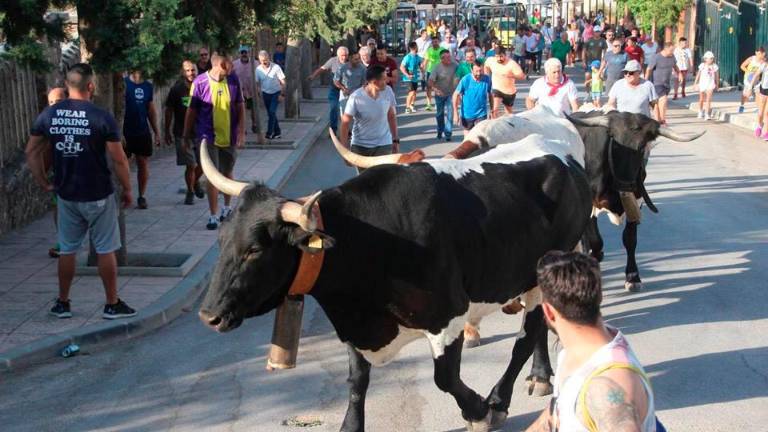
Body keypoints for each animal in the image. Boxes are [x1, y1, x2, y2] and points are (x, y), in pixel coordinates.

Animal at [200, 132, 592, 432]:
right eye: (221, 240)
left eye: (254, 249)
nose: (208, 315)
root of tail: (555, 147)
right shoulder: (355, 326)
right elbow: (357, 382)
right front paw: (350, 426)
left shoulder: (448, 316)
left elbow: (444, 378)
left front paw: (479, 412)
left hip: (545, 271)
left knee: (527, 336)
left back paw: (502, 398)